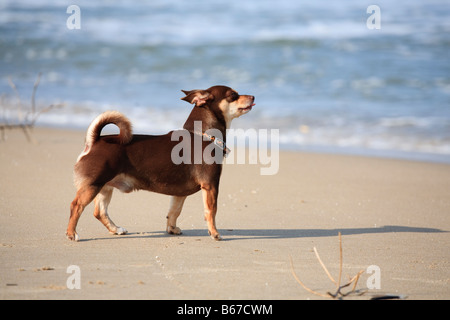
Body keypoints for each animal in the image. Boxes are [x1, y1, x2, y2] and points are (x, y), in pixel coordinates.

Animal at [65, 85, 255, 240]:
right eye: (233, 95)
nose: (253, 96)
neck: (203, 134)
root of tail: (94, 141)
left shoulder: (180, 193)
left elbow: (174, 212)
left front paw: (171, 229)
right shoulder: (210, 185)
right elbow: (211, 211)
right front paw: (214, 233)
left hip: (104, 187)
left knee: (99, 212)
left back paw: (116, 229)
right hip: (93, 186)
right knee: (76, 206)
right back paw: (72, 233)